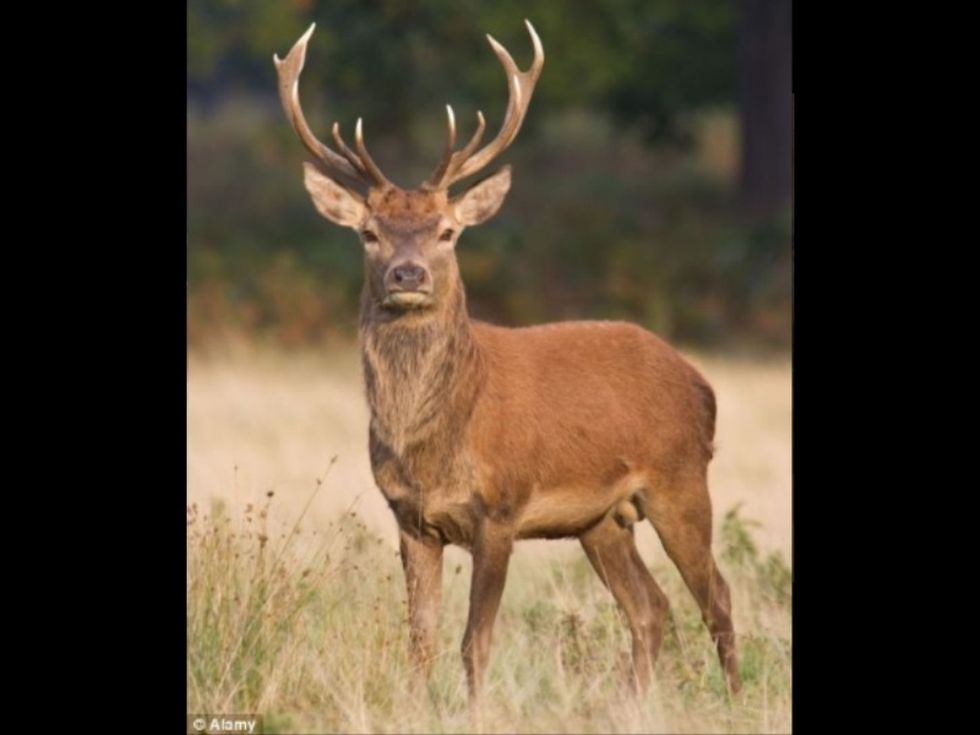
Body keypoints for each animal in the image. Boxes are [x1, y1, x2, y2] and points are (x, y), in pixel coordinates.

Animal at [274, 20, 741, 702]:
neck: (434, 444)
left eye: (447, 231)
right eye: (369, 232)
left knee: (717, 597)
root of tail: (700, 381)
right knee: (650, 606)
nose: (407, 274)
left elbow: (476, 641)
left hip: (681, 478)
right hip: (601, 520)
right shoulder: (410, 518)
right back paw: (634, 704)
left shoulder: (499, 509)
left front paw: (472, 710)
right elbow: (420, 640)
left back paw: (734, 699)